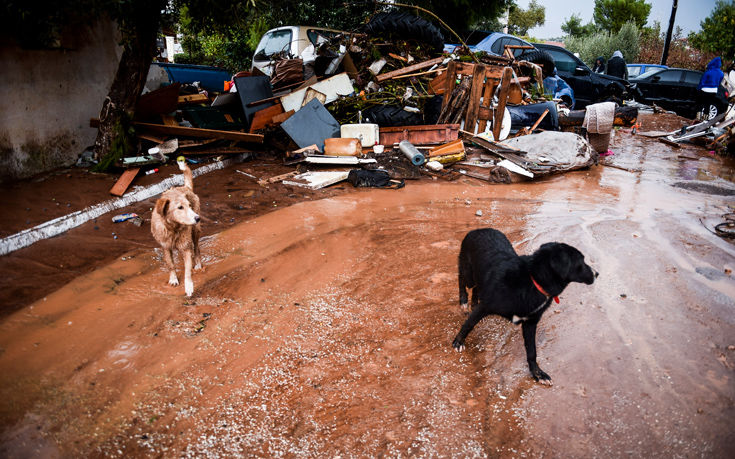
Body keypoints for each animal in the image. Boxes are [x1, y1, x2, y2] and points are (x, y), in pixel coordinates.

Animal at [151, 160, 201, 296]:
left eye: (189, 206)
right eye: (180, 207)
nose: (197, 218)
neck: (173, 228)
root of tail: (185, 187)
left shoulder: (186, 247)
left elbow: (188, 270)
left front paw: (188, 286)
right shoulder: (165, 247)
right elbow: (170, 265)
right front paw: (173, 279)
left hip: (195, 231)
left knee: (196, 248)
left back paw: (198, 264)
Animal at [454, 229, 600, 384]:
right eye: (581, 261)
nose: (597, 273)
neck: (533, 280)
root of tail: (478, 229)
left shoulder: (530, 323)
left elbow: (532, 351)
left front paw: (538, 373)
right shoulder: (486, 306)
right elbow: (468, 324)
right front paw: (458, 342)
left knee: (476, 288)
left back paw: (473, 302)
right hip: (468, 273)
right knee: (462, 279)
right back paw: (463, 301)